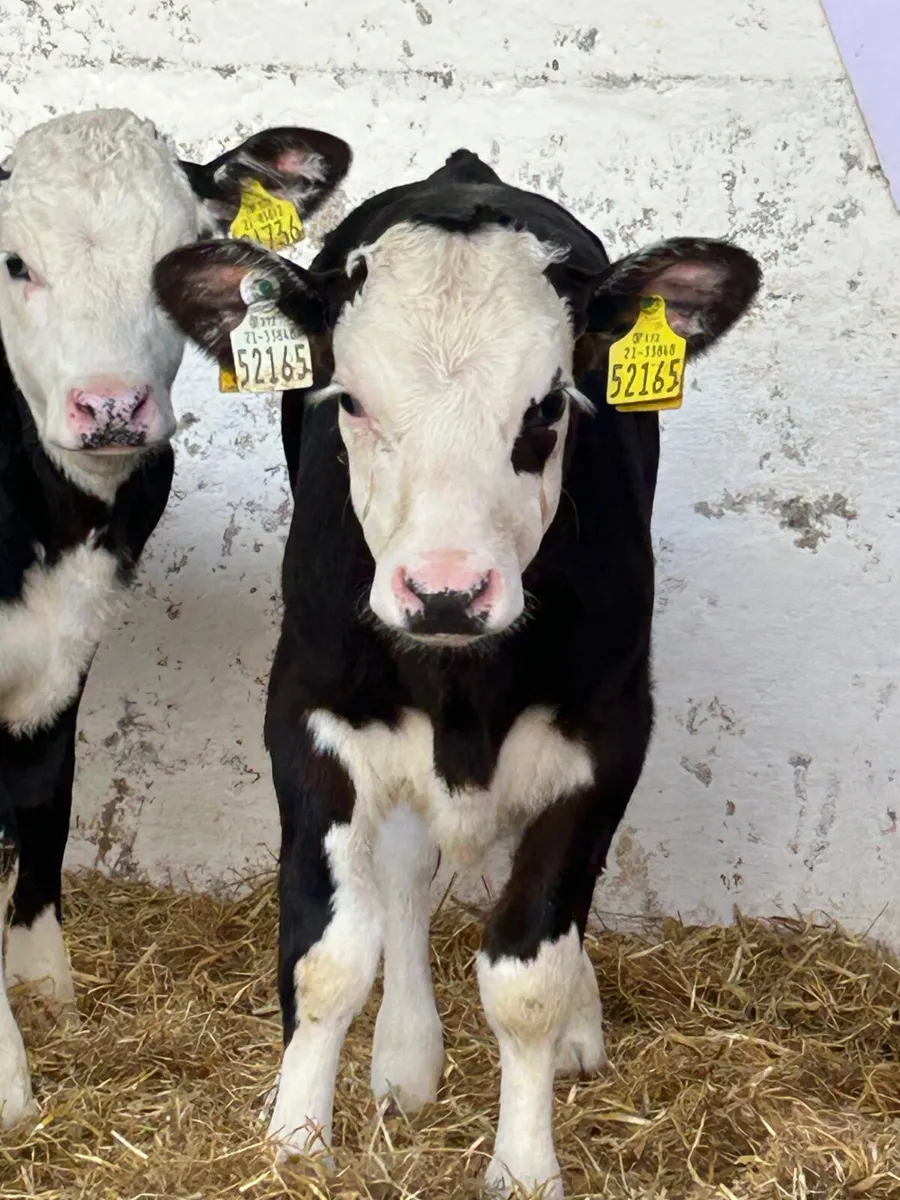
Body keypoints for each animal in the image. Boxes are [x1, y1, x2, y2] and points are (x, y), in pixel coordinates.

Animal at [0, 107, 351, 1128]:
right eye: (13, 261)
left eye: (176, 255)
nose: (109, 405)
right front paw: (7, 1080)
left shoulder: (64, 650)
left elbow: (47, 802)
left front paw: (46, 991)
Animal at [154, 149, 760, 1198]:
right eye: (350, 400)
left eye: (550, 405)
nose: (444, 591)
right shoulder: (307, 716)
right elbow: (329, 953)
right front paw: (295, 1139)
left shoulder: (609, 734)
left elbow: (529, 971)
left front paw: (525, 1162)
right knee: (402, 872)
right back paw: (405, 1056)